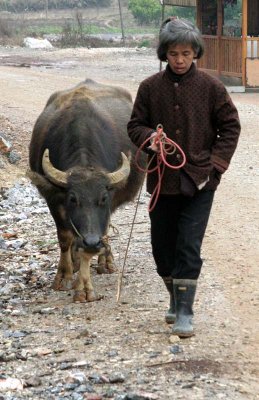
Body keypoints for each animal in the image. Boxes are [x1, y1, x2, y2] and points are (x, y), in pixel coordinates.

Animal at [29, 79, 146, 304]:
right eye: (73, 199)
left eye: (103, 198)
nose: (92, 241)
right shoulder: (53, 200)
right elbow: (65, 237)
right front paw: (64, 275)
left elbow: (90, 245)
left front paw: (84, 288)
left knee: (105, 231)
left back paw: (105, 262)